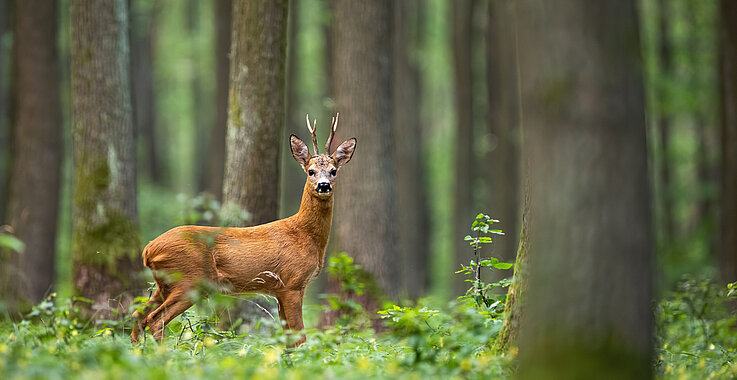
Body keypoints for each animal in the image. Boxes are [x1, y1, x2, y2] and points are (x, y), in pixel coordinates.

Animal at [132, 113, 356, 348]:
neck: (305, 235)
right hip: (189, 280)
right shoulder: (292, 283)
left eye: (333, 171)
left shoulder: (278, 289)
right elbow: (300, 337)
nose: (323, 186)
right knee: (155, 320)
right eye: (311, 171)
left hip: (164, 284)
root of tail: (148, 250)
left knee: (138, 316)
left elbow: (288, 339)